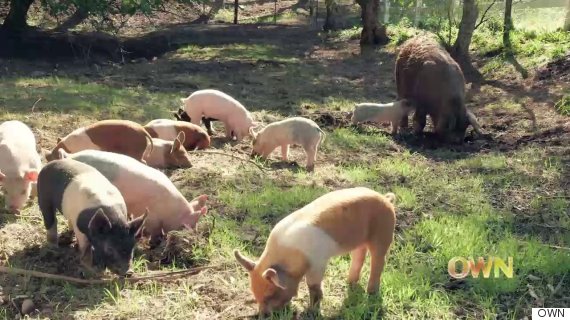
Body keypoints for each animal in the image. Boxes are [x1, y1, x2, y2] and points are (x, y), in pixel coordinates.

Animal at [232, 186, 394, 314]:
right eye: (255, 293)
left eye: (271, 293)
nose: (263, 315)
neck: (291, 255)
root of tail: (386, 198)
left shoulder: (318, 262)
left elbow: (313, 286)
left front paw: (312, 310)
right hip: (359, 240)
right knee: (359, 255)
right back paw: (349, 282)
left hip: (384, 233)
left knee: (378, 261)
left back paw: (371, 292)